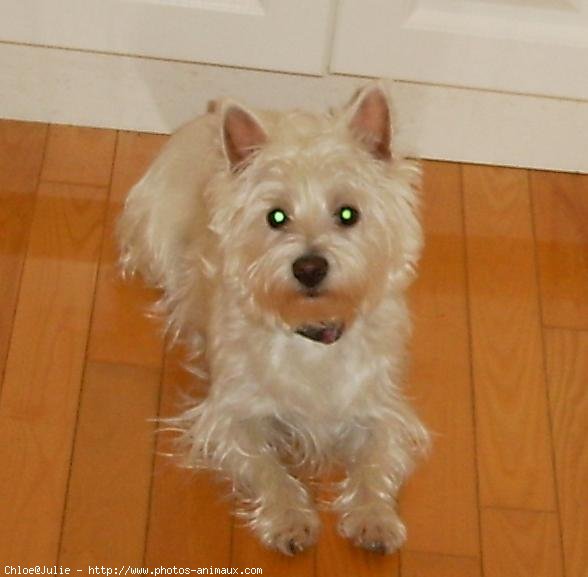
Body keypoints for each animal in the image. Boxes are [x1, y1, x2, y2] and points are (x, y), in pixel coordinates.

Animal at [118, 80, 428, 552]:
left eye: (348, 214)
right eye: (276, 216)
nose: (309, 267)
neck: (312, 332)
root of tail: (206, 116)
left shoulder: (382, 407)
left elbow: (377, 461)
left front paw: (374, 519)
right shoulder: (231, 415)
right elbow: (266, 467)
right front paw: (290, 520)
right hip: (157, 238)